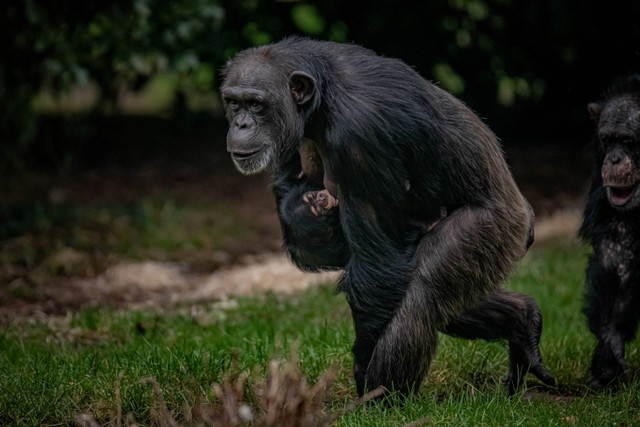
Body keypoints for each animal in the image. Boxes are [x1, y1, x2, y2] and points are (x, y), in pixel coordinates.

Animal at [220, 37, 556, 398]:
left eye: (256, 105)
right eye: (233, 103)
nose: (241, 123)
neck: (322, 100)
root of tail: (526, 220)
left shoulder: (360, 137)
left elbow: (376, 269)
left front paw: (363, 373)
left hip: (493, 230)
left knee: (422, 297)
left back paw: (381, 398)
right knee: (450, 301)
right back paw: (522, 323)